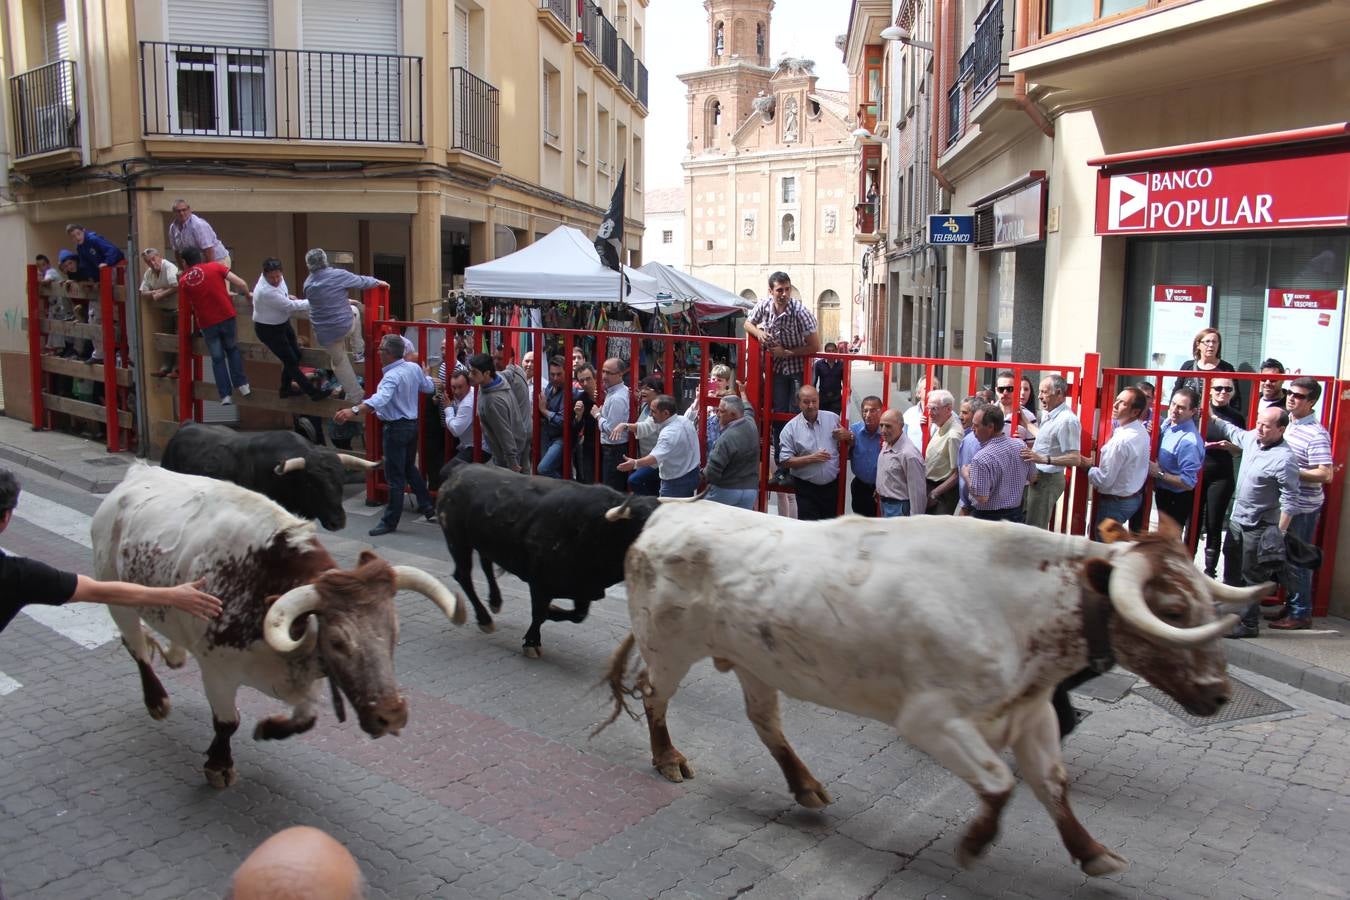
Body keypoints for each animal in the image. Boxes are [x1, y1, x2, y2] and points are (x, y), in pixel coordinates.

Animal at [91, 469, 469, 782]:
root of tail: (138, 472)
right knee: (136, 647)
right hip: (116, 595)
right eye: (337, 642)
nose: (392, 715)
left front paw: (269, 728)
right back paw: (156, 700)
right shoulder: (217, 672)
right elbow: (227, 722)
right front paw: (219, 765)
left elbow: (306, 718)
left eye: (394, 633)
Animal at [434, 461, 661, 658]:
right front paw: (532, 643)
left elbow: (576, 615)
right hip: (457, 540)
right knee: (463, 575)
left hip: (483, 540)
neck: (596, 528)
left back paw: (495, 601)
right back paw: (484, 618)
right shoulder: (540, 583)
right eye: (642, 526)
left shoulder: (584, 588)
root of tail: (460, 468)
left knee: (486, 564)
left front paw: (553, 611)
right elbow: (539, 613)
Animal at [602, 510, 1263, 874]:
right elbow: (998, 783)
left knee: (765, 720)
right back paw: (668, 758)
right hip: (668, 645)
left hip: (753, 660)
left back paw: (806, 785)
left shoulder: (1032, 715)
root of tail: (664, 514)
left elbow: (1053, 785)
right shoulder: (929, 720)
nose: (1219, 695)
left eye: (1205, 602)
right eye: (1171, 609)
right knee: (654, 695)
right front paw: (974, 843)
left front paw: (1092, 851)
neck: (1016, 606)